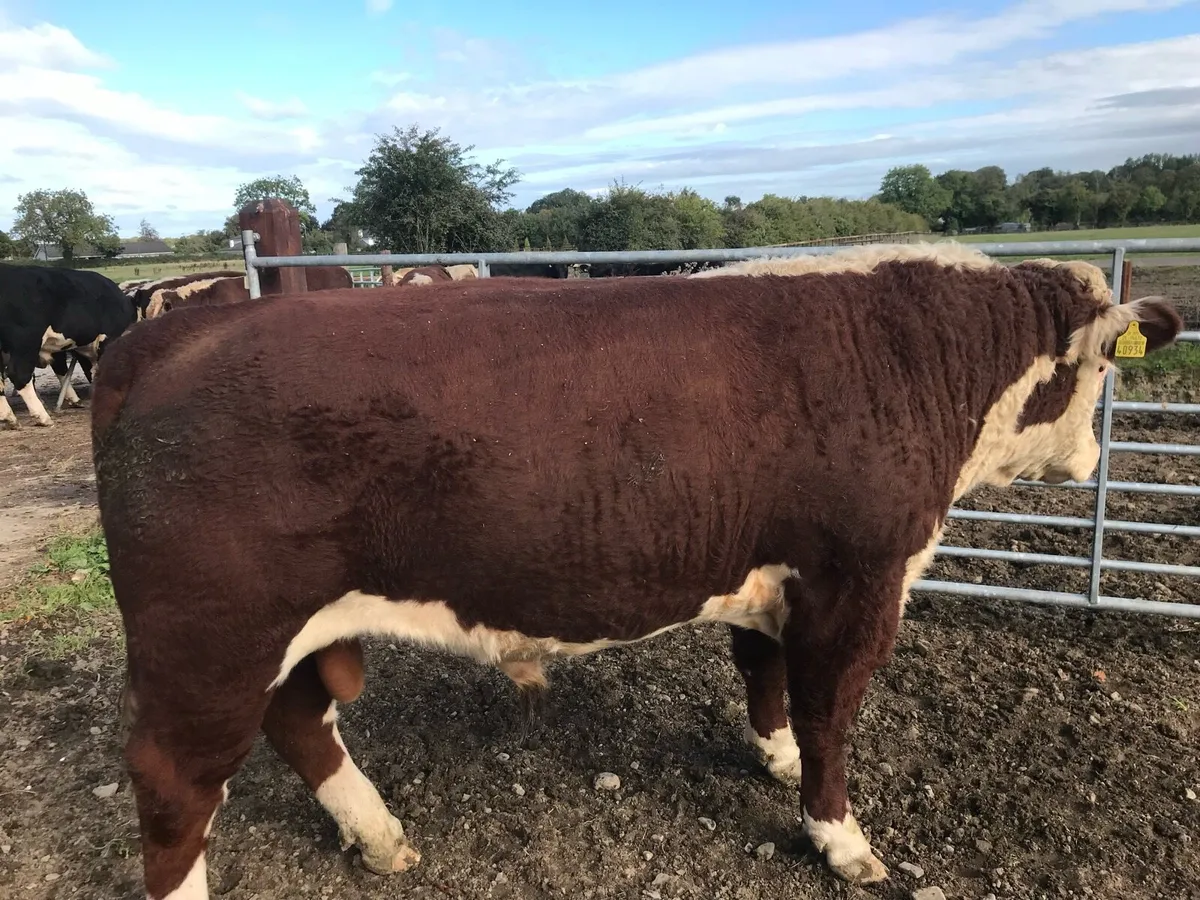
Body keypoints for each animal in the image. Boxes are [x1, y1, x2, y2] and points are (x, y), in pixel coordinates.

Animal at [89, 243, 1182, 899]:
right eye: (1102, 370)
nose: (1093, 458)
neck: (913, 355)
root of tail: (169, 330)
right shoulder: (860, 573)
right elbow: (831, 711)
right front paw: (838, 835)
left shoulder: (768, 567)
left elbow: (766, 676)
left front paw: (774, 758)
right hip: (209, 635)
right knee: (175, 781)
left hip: (260, 638)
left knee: (297, 720)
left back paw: (380, 833)